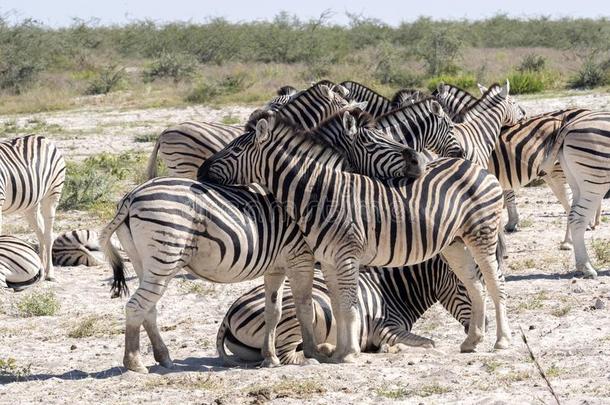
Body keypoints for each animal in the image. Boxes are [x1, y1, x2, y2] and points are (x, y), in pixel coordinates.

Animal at [0, 134, 65, 280]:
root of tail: (42, 137)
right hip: (31, 204)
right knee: (40, 233)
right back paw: (40, 269)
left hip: (52, 193)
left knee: (48, 235)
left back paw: (50, 273)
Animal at [100, 89, 418, 372]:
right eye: (375, 141)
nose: (418, 162)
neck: (312, 191)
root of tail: (130, 198)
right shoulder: (301, 257)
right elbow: (304, 305)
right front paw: (313, 352)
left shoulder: (276, 264)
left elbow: (273, 311)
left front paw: (271, 357)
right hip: (165, 256)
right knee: (137, 305)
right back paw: (135, 363)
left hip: (144, 261)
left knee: (149, 307)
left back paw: (163, 358)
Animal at [218, 256, 470, 366]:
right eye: (463, 288)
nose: (475, 328)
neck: (393, 290)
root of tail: (228, 315)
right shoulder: (385, 327)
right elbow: (430, 344)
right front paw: (393, 349)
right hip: (300, 311)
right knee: (285, 354)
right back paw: (316, 358)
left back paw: (327, 349)